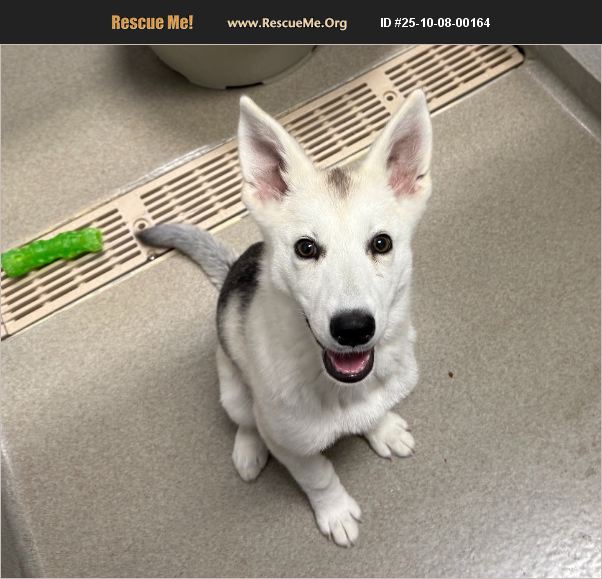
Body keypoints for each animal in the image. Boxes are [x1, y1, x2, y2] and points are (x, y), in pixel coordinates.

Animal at [138, 89, 432, 547]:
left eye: (381, 243)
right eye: (306, 248)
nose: (353, 329)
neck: (338, 389)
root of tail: (233, 270)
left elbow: (375, 411)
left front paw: (382, 428)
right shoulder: (292, 447)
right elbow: (319, 477)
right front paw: (334, 511)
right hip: (233, 389)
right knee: (245, 419)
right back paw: (248, 449)